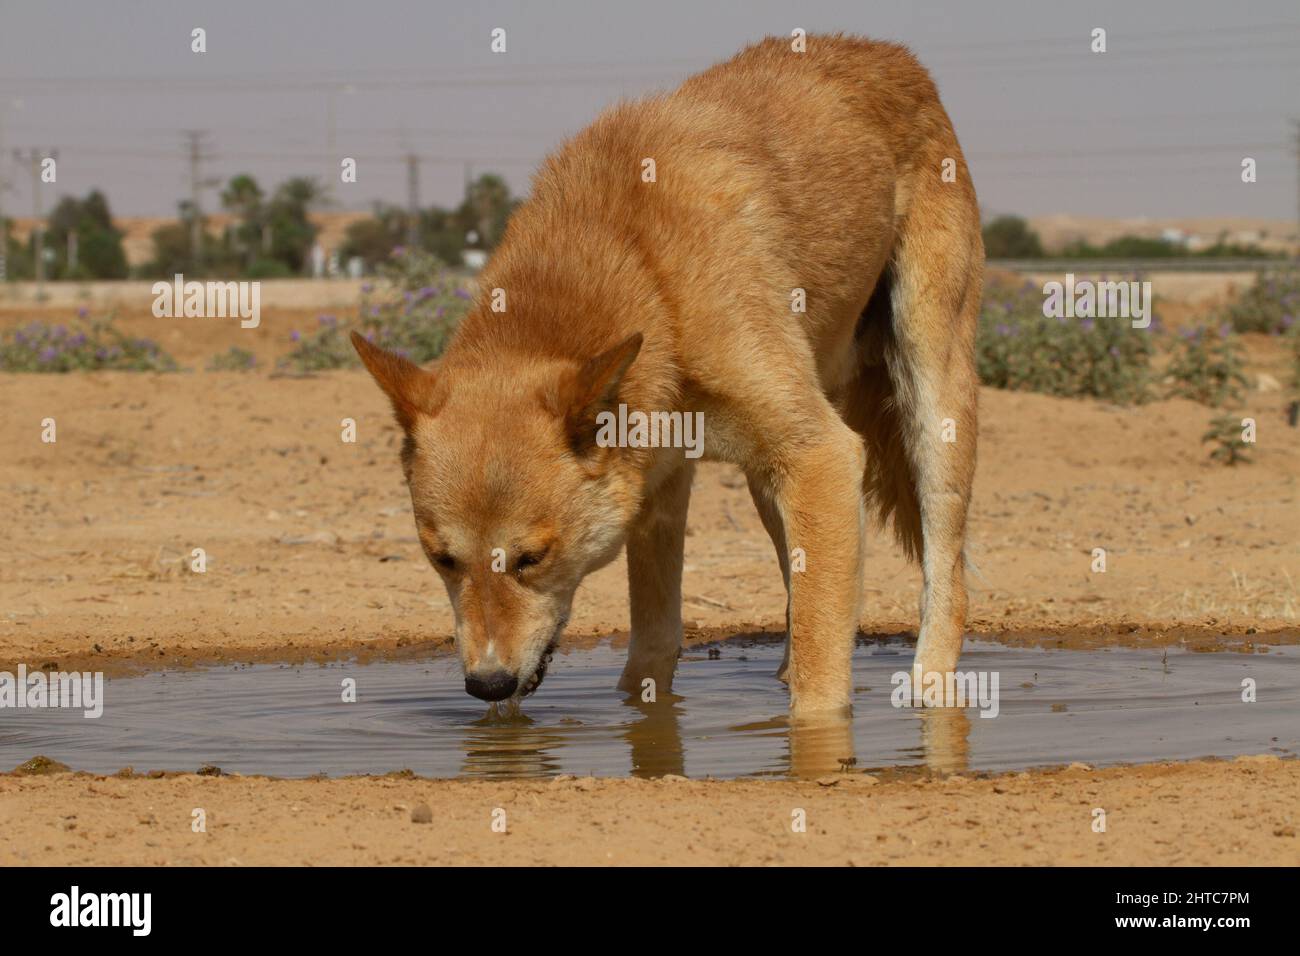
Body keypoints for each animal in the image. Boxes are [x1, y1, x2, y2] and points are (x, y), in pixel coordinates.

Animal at [351, 35, 977, 717]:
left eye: (529, 559)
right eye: (442, 559)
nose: (487, 685)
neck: (641, 263)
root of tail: (893, 55)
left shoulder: (822, 453)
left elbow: (819, 685)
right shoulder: (661, 485)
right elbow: (653, 648)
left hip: (927, 403)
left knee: (945, 570)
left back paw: (932, 683)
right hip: (771, 482)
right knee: (801, 592)